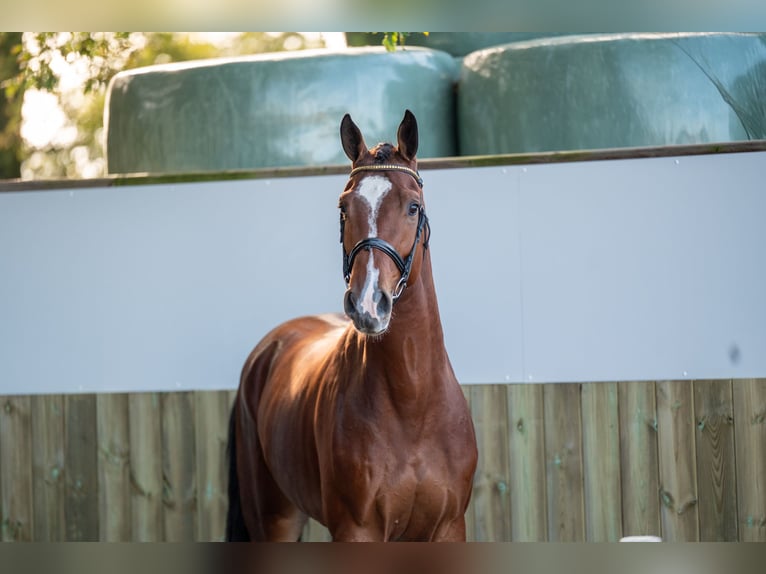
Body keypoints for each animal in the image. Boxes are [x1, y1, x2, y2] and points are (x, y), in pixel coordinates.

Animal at [225, 109, 480, 544]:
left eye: (413, 207)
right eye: (344, 208)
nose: (367, 303)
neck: (413, 404)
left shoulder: (449, 528)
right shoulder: (356, 530)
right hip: (275, 519)